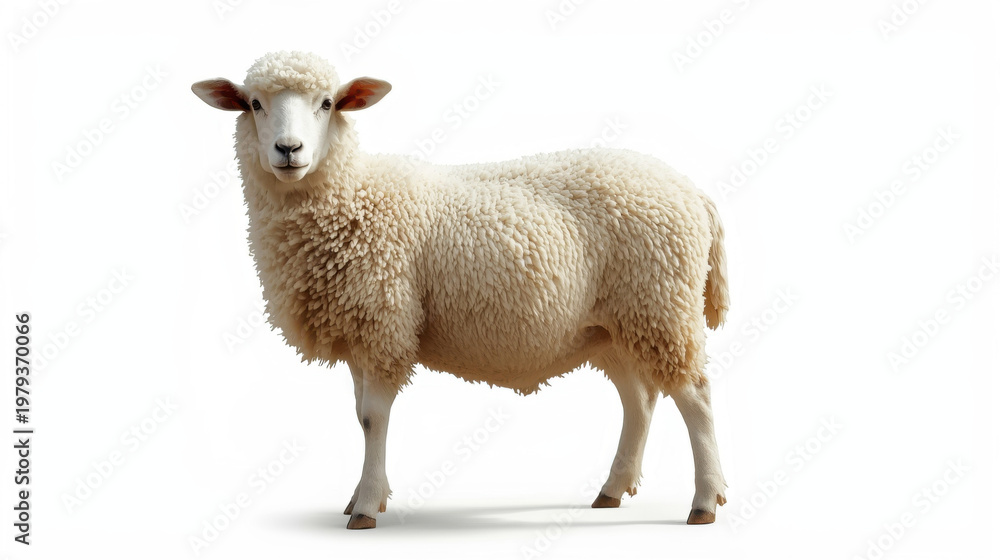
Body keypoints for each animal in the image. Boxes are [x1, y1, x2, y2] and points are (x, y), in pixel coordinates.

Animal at [192, 51, 730, 530]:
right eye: (254, 104)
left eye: (327, 103)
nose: (288, 150)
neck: (353, 197)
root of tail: (693, 192)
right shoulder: (362, 330)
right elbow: (359, 415)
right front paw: (364, 496)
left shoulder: (385, 323)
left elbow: (372, 419)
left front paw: (365, 507)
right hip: (614, 325)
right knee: (639, 400)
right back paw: (613, 490)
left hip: (660, 305)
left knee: (696, 397)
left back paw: (704, 501)